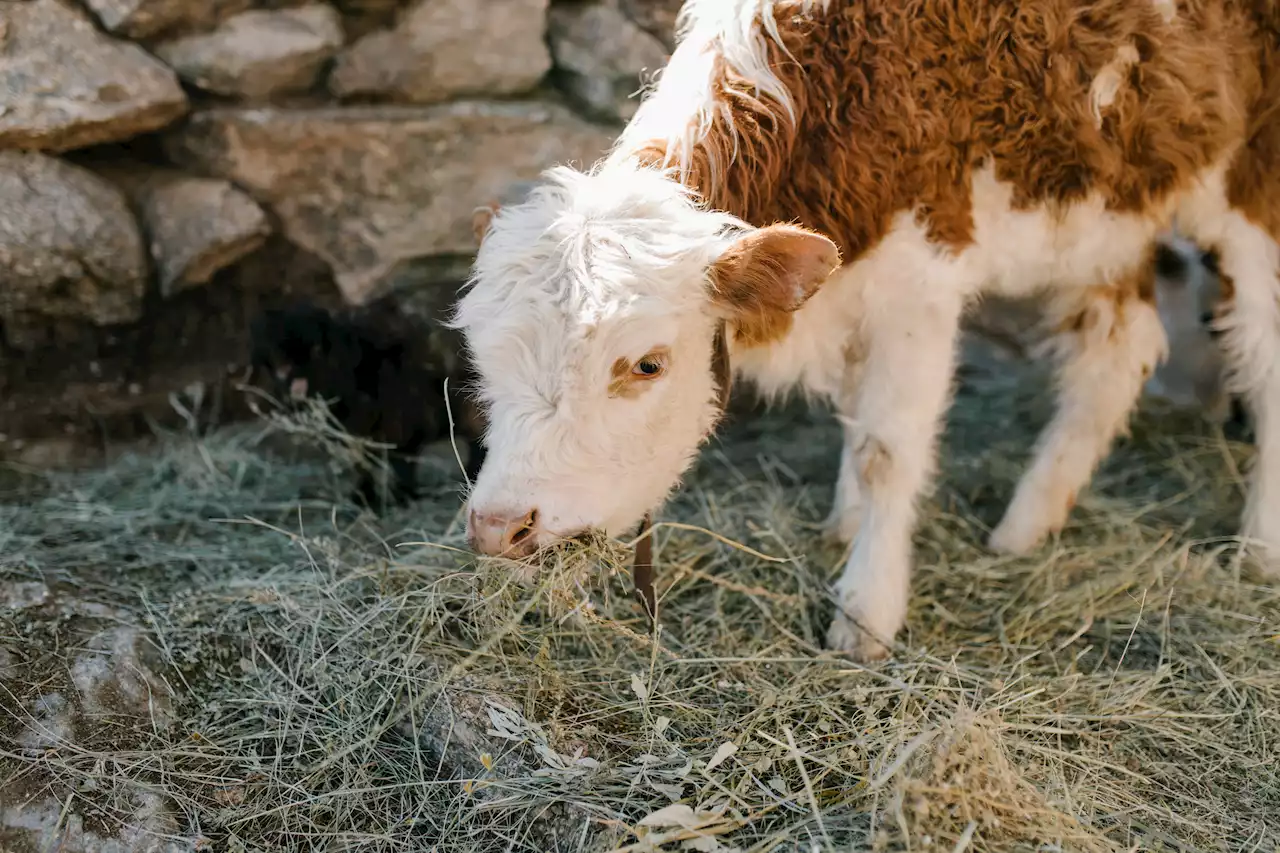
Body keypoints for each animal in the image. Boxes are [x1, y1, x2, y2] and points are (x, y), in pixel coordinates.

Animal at [252, 297, 486, 502]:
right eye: (275, 356)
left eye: (317, 349)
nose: (294, 386)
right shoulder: (354, 434)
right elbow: (362, 465)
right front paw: (363, 498)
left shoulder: (404, 421)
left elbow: (402, 462)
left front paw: (402, 497)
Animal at [455, 0, 1280, 655]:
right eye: (484, 364)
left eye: (647, 364)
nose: (499, 526)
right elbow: (855, 417)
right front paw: (845, 525)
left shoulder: (919, 279)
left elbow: (888, 447)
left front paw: (866, 612)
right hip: (1112, 203)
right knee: (1121, 348)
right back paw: (1024, 526)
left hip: (1251, 183)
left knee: (1263, 356)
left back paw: (1259, 549)